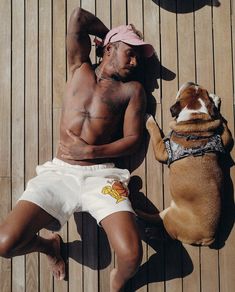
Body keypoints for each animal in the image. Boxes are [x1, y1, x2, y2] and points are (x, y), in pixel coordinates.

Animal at [138, 82, 233, 246]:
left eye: (183, 91)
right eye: (200, 90)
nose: (192, 82)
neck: (195, 117)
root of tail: (208, 237)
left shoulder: (161, 150)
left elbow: (155, 132)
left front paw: (149, 121)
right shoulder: (224, 138)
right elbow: (221, 121)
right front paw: (215, 101)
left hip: (171, 219)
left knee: (168, 234)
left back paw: (152, 232)